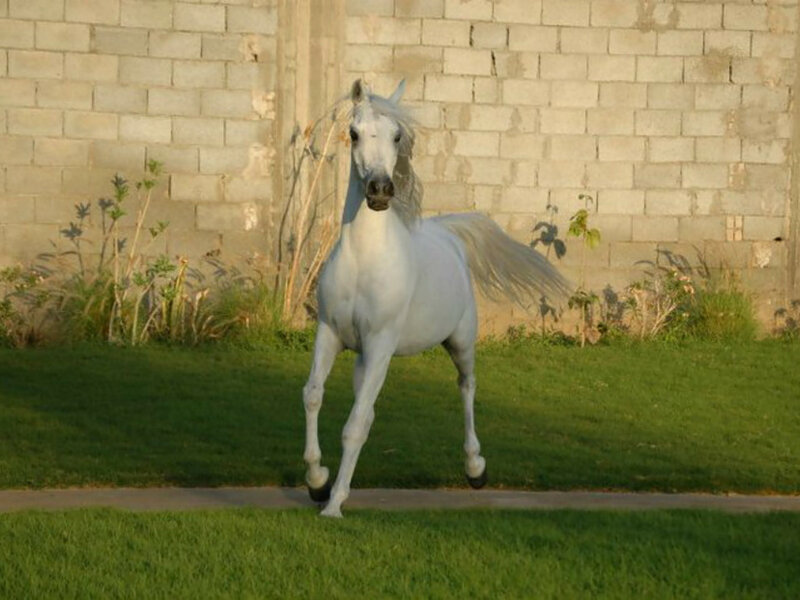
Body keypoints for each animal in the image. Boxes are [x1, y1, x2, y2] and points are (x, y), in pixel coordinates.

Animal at [303, 79, 569, 517]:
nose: (380, 190)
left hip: (459, 342)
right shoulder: (331, 334)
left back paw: (475, 468)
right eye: (354, 133)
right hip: (365, 357)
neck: (364, 261)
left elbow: (354, 425)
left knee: (466, 386)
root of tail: (448, 232)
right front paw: (317, 481)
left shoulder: (381, 344)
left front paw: (334, 504)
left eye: (397, 135)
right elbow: (314, 397)